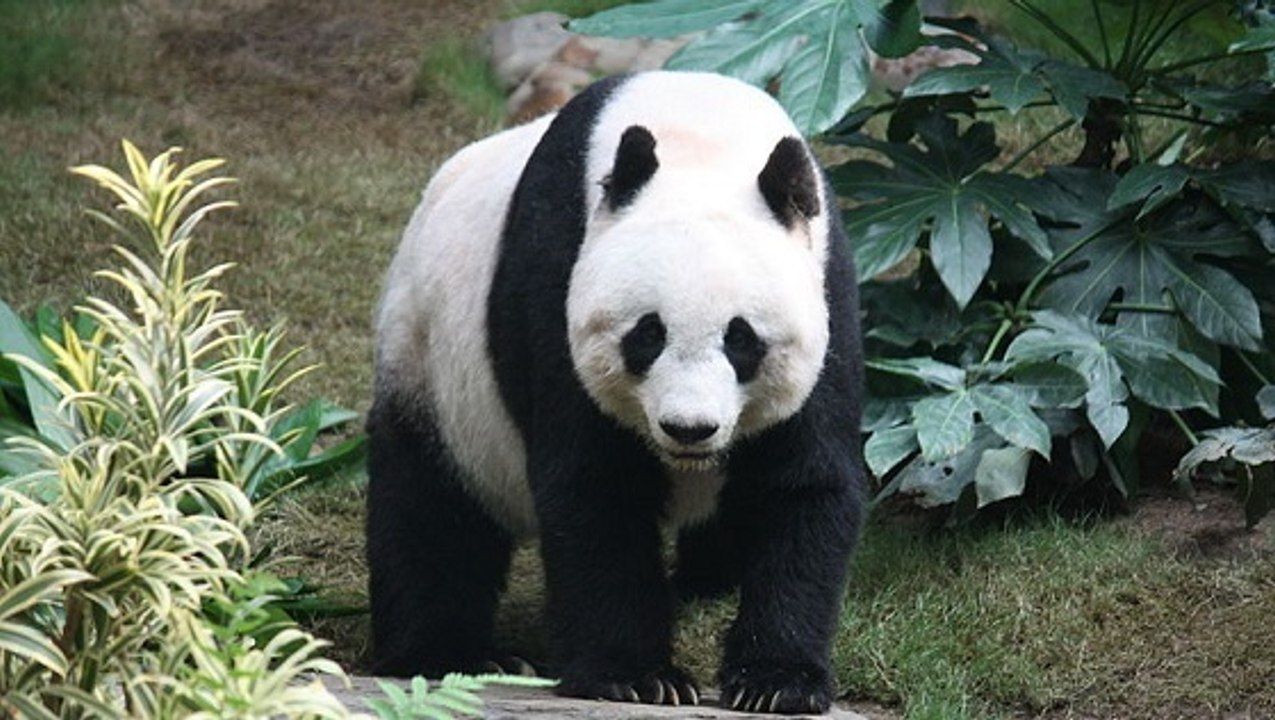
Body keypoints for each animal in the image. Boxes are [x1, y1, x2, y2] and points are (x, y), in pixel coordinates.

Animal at [366, 70, 865, 714]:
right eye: (648, 335)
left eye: (742, 340)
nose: (689, 428)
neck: (701, 138)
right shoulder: (555, 276)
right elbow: (597, 487)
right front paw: (637, 676)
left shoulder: (829, 292)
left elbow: (801, 484)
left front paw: (776, 682)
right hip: (432, 365)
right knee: (431, 509)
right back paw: (451, 654)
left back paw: (705, 581)